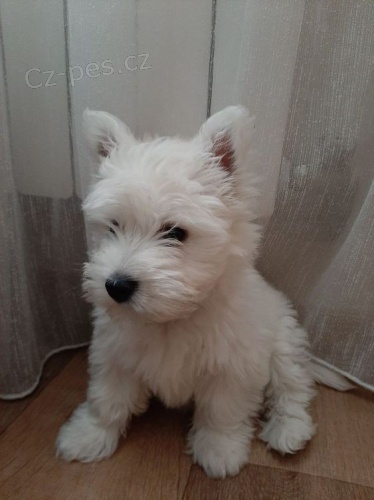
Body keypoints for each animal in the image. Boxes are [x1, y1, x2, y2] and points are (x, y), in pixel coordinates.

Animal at [55, 105, 350, 476]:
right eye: (113, 227)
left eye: (175, 233)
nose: (116, 286)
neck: (172, 317)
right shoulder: (115, 354)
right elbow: (106, 399)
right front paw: (87, 435)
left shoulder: (234, 366)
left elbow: (222, 410)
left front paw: (219, 450)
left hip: (284, 343)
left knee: (292, 389)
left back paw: (289, 429)